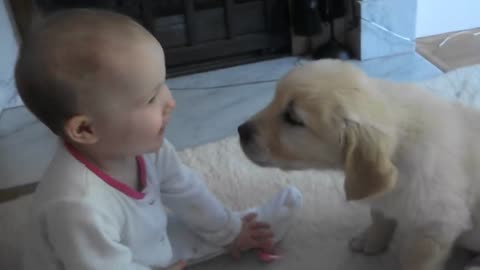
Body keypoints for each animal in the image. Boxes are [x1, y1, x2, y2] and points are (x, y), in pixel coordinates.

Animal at [240, 60, 480, 270]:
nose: (241, 131)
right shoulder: (382, 194)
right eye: (274, 98)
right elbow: (380, 216)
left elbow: (416, 260)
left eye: (293, 119)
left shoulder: (436, 227)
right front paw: (372, 240)